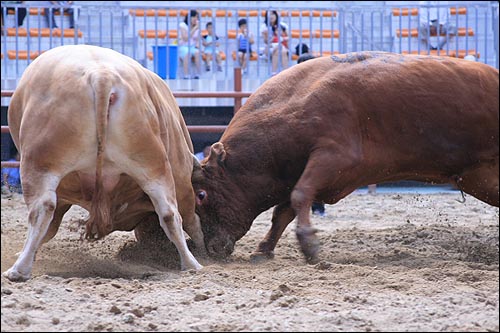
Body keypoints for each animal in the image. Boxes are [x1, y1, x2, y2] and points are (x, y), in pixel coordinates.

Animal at [3, 42, 203, 278]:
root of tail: (100, 75)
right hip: (151, 162)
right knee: (170, 213)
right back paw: (191, 264)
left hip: (40, 162)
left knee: (42, 209)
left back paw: (19, 269)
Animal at [190, 50, 496, 262]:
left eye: (201, 195)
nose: (206, 247)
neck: (295, 104)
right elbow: (283, 211)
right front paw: (264, 249)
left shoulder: (336, 157)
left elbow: (299, 196)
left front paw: (309, 243)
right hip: (479, 178)